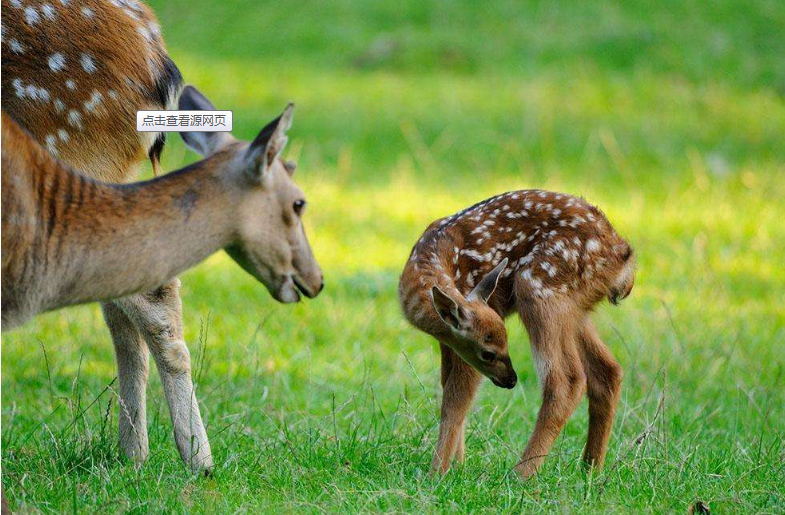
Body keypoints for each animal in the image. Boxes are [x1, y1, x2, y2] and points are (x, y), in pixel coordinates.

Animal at [402, 189, 632, 480]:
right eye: (489, 353)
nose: (511, 380)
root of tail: (623, 257)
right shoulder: (449, 341)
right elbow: (447, 385)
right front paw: (458, 464)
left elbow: (456, 399)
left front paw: (438, 473)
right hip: (575, 309)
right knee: (608, 371)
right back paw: (590, 470)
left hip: (539, 288)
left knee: (566, 380)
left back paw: (521, 474)